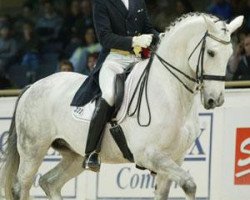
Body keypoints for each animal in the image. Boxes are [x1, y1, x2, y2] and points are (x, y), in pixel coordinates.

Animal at [0, 13, 242, 199]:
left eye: (231, 54)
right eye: (211, 53)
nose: (215, 100)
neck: (169, 90)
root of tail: (33, 85)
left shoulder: (174, 159)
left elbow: (173, 190)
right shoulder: (149, 154)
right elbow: (190, 184)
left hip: (74, 155)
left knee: (49, 182)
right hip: (33, 150)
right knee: (22, 186)